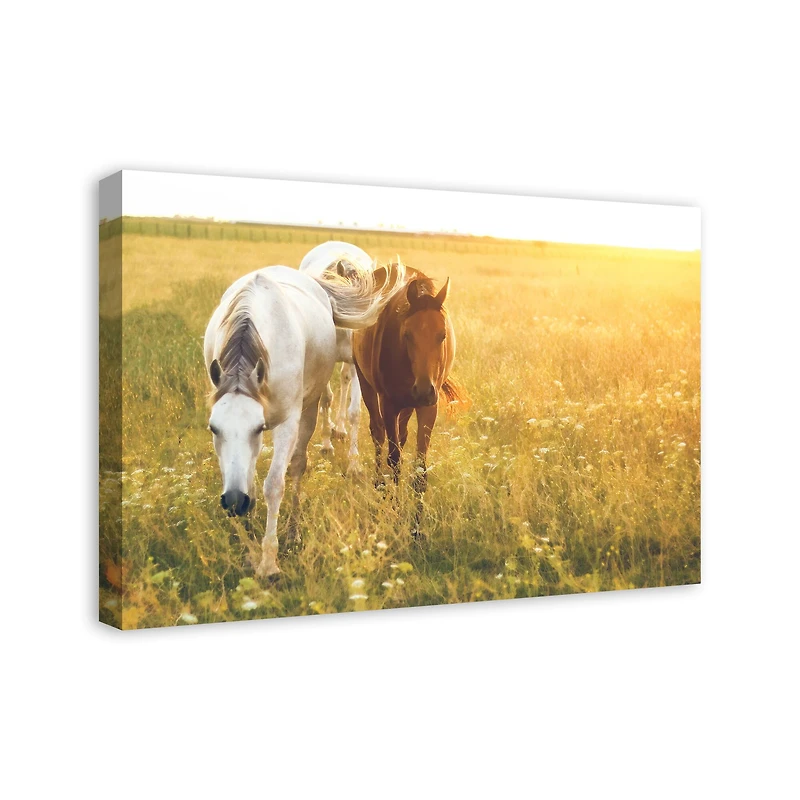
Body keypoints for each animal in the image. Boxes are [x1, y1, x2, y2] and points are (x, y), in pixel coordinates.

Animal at [298, 241, 374, 474]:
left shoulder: (357, 367)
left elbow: (354, 412)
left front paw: (354, 464)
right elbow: (325, 399)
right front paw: (326, 446)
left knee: (345, 379)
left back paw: (339, 429)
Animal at [352, 263, 467, 502]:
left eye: (442, 335)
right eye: (407, 335)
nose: (423, 390)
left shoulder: (429, 407)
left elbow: (420, 467)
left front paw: (417, 511)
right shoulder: (389, 404)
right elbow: (394, 459)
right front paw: (394, 505)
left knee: (401, 435)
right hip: (365, 383)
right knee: (378, 433)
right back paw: (379, 484)